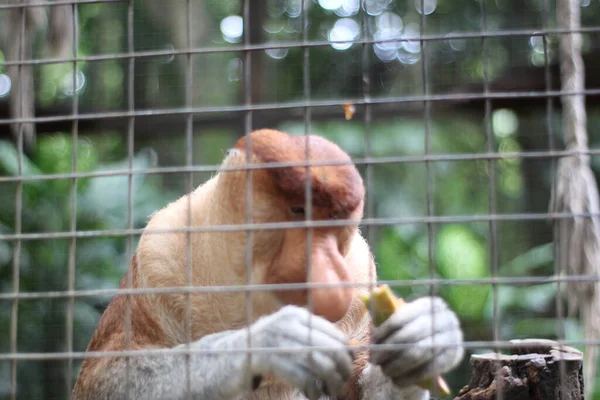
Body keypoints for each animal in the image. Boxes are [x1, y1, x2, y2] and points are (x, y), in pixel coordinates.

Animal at [71, 130, 464, 398]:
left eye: (333, 219)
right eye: (298, 210)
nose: (330, 275)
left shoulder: (358, 273)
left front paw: (426, 336)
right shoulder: (160, 252)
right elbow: (102, 378)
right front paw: (275, 341)